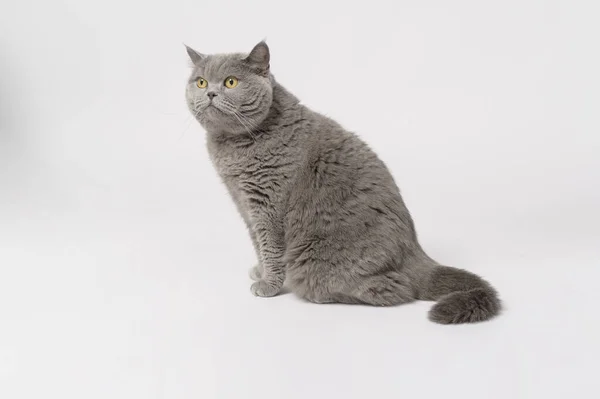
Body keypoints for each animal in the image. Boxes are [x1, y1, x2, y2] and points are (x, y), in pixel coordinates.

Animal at [184, 41, 502, 324]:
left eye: (231, 82)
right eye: (200, 82)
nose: (210, 92)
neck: (233, 147)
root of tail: (418, 256)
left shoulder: (268, 205)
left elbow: (271, 247)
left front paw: (269, 285)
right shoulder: (245, 204)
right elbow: (257, 243)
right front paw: (261, 272)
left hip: (319, 263)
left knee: (395, 290)